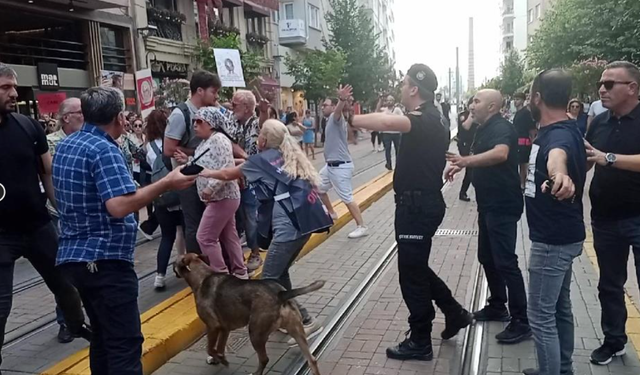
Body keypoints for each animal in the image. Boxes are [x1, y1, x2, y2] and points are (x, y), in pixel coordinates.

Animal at [174, 254, 324, 374]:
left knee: (264, 359)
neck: (203, 275)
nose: (173, 268)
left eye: (175, 263)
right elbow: (220, 347)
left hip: (255, 333)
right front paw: (221, 359)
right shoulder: (224, 329)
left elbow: (210, 348)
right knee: (312, 360)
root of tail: (281, 294)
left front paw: (218, 359)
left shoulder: (212, 326)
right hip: (296, 331)